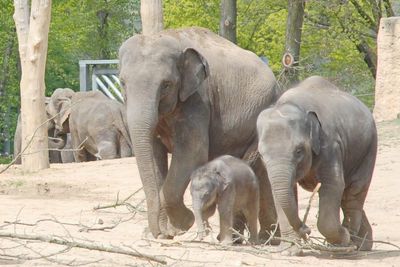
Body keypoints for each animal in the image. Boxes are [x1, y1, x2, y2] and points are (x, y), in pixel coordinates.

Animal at [119, 26, 280, 241]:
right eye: (122, 83)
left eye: (166, 85)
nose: (157, 233)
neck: (171, 36)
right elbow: (154, 154)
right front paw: (166, 232)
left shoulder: (199, 99)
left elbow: (192, 153)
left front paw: (182, 225)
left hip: (263, 116)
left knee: (258, 167)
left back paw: (263, 239)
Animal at [256, 76, 378, 255]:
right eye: (261, 155)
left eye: (299, 150)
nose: (306, 229)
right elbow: (280, 192)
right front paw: (290, 250)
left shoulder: (330, 145)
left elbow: (333, 185)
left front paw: (342, 240)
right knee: (346, 195)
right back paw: (363, 244)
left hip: (369, 148)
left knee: (354, 192)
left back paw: (352, 245)